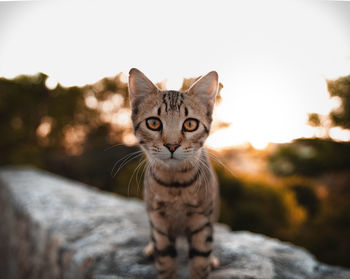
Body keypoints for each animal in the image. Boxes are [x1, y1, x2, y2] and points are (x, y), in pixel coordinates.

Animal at [129, 68, 220, 279]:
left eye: (190, 124)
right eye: (153, 123)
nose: (171, 145)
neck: (175, 183)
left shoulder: (202, 218)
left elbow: (200, 260)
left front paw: (204, 264)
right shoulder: (158, 219)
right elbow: (165, 259)